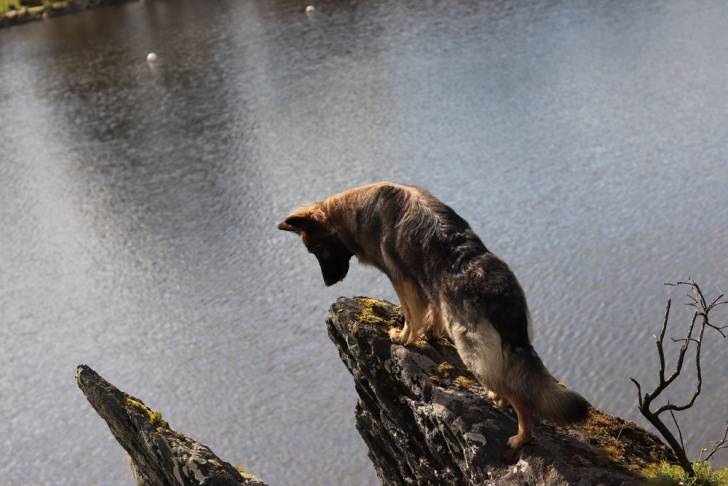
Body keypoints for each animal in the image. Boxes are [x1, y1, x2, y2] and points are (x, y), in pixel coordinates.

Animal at [278, 182, 590, 449]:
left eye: (317, 249)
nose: (328, 283)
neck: (355, 209)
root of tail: (497, 292)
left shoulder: (402, 279)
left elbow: (410, 315)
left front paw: (403, 337)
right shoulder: (425, 284)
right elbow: (431, 312)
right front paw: (428, 333)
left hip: (470, 351)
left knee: (521, 397)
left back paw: (522, 436)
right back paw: (499, 399)